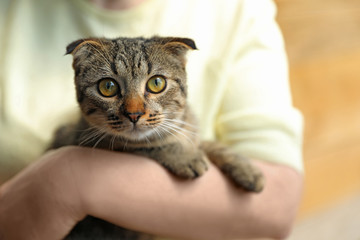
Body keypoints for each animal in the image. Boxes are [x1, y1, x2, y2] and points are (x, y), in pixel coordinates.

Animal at [50, 36, 264, 240]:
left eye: (156, 83)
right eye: (107, 86)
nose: (134, 114)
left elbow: (209, 144)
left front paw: (246, 168)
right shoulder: (85, 139)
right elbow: (148, 146)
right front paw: (186, 157)